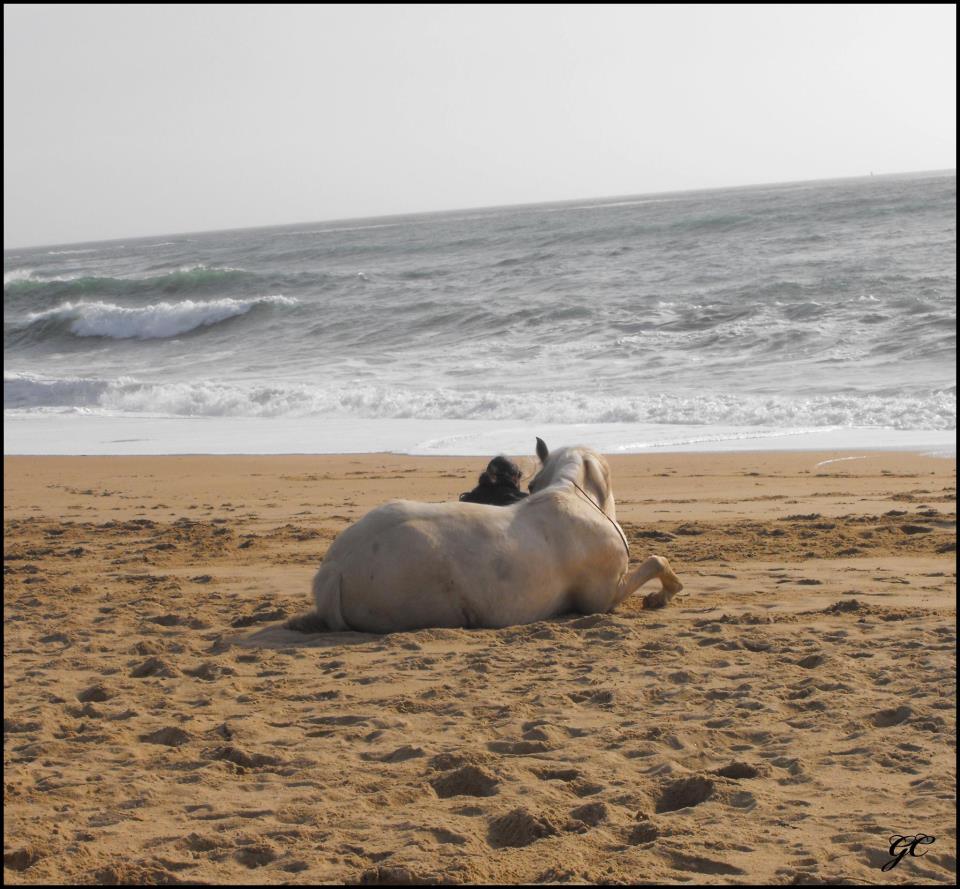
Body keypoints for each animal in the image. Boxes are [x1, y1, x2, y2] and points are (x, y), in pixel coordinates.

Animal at [312, 438, 680, 632]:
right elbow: (657, 561)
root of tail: (335, 569)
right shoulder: (603, 599)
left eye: (531, 485)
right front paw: (662, 595)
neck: (576, 497)